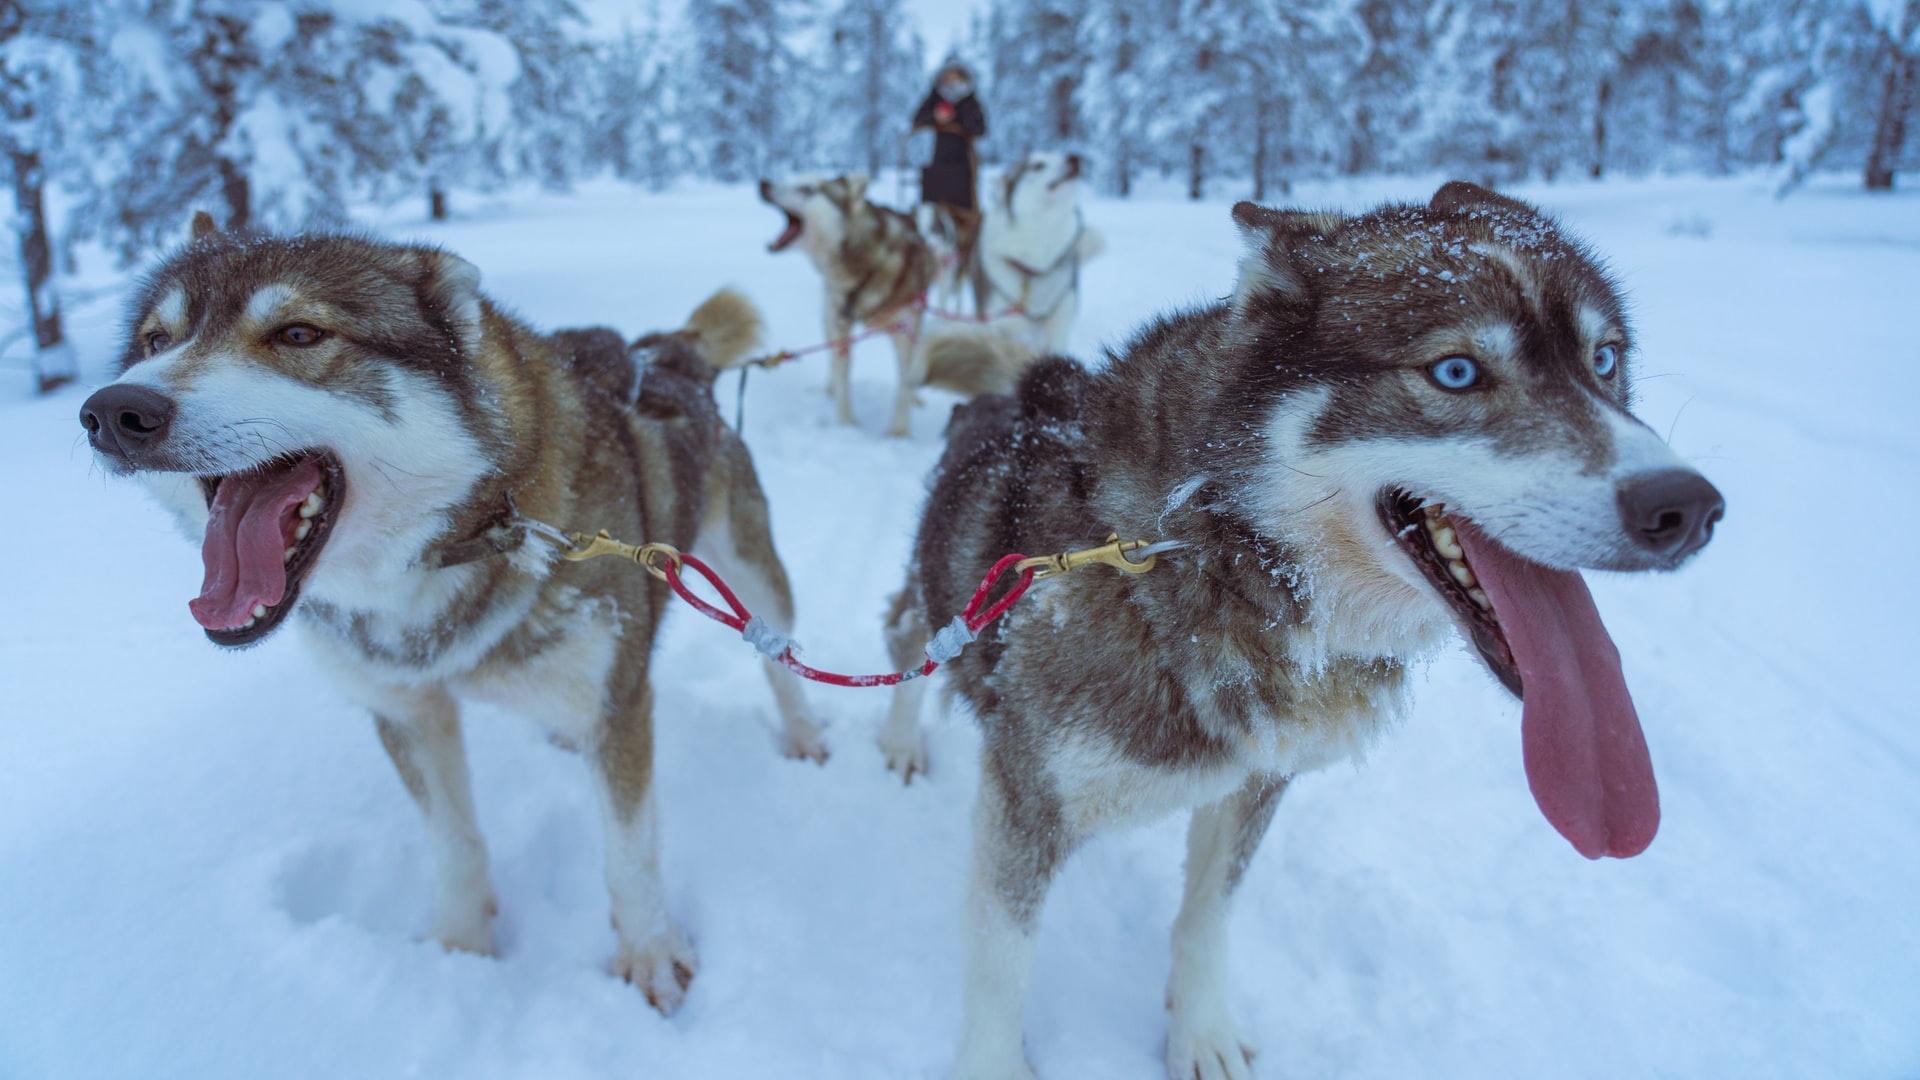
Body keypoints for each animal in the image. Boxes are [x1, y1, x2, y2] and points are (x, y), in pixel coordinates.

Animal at [80, 219, 825, 1006]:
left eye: (299, 333)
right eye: (157, 340)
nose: (114, 411)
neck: (464, 539)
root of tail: (666, 349)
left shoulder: (617, 708)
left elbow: (629, 852)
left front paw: (651, 952)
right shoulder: (405, 711)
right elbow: (454, 841)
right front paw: (460, 949)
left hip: (753, 575)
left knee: (779, 659)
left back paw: (804, 733)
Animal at [883, 180, 1728, 1068]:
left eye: (1604, 360)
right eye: (1457, 372)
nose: (1685, 507)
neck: (1211, 555)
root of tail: (1022, 391)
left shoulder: (1256, 782)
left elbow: (1206, 915)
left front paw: (1201, 1032)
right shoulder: (1027, 801)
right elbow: (1002, 971)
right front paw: (993, 1062)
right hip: (932, 608)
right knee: (905, 640)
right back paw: (901, 739)